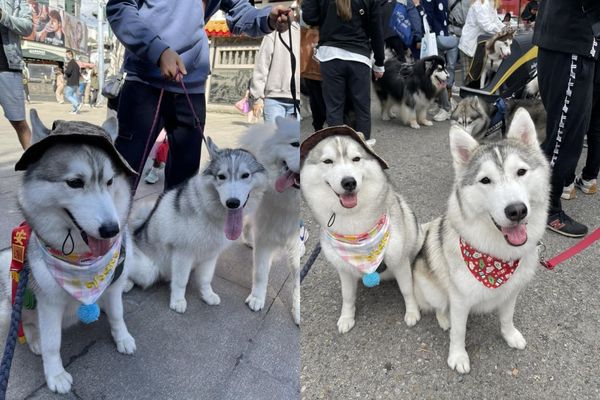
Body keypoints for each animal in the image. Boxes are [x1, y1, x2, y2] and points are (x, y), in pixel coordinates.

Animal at [0, 111, 136, 392]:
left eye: (109, 182)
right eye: (74, 183)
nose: (111, 230)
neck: (83, 262)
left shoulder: (114, 286)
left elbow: (118, 314)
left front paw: (122, 337)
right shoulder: (49, 303)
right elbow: (53, 342)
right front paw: (55, 374)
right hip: (9, 271)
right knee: (25, 322)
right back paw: (35, 339)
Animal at [129, 139, 268, 314]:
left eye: (246, 175)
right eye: (221, 176)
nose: (233, 203)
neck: (208, 213)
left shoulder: (210, 255)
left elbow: (205, 279)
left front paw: (207, 296)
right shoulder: (182, 253)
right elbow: (180, 281)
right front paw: (178, 301)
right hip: (148, 270)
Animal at [240, 115, 302, 324]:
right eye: (295, 144)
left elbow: (297, 284)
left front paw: (298, 312)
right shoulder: (265, 237)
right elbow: (260, 273)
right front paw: (257, 299)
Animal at [300, 128, 422, 334]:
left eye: (356, 159)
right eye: (328, 161)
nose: (349, 182)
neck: (356, 230)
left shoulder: (400, 262)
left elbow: (407, 290)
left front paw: (412, 312)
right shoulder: (343, 270)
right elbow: (347, 296)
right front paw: (346, 317)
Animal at [412, 108, 548, 374]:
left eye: (521, 172)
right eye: (485, 180)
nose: (517, 210)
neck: (497, 257)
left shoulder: (512, 291)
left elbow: (507, 317)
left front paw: (510, 335)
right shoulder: (460, 299)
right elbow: (459, 331)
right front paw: (458, 356)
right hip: (431, 288)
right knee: (439, 307)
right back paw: (444, 319)